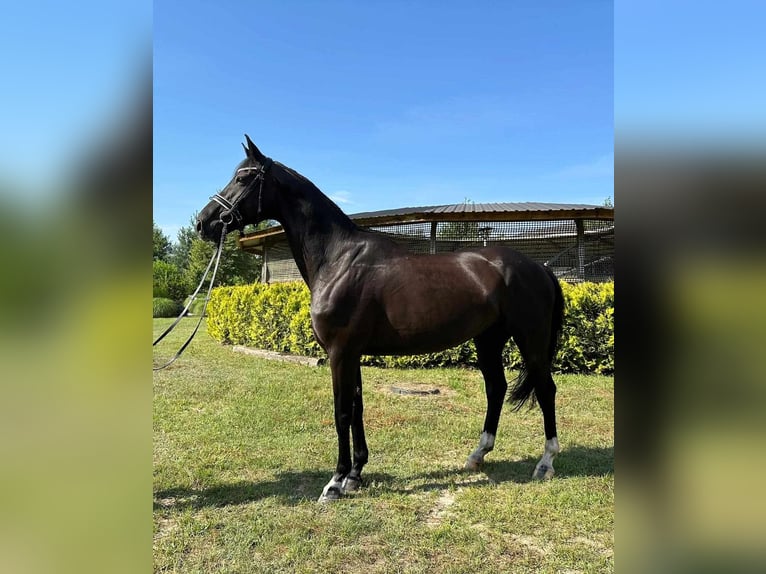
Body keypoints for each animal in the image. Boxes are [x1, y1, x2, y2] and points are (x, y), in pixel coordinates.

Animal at [196, 137, 568, 502]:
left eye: (243, 177)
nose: (204, 222)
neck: (338, 259)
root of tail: (540, 269)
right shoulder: (353, 354)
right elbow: (357, 407)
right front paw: (355, 475)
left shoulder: (340, 353)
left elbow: (342, 412)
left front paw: (335, 482)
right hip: (488, 339)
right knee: (496, 387)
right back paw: (477, 455)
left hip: (530, 340)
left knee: (546, 389)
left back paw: (546, 463)